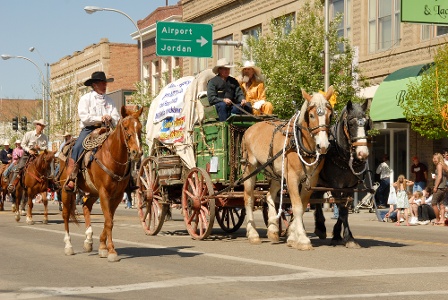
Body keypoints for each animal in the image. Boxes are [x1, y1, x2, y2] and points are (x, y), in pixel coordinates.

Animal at [59, 106, 143, 262]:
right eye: (125, 127)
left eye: (140, 127)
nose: (137, 152)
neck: (111, 157)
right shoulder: (104, 193)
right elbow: (109, 221)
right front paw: (111, 251)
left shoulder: (117, 196)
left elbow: (109, 220)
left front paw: (103, 247)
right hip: (65, 190)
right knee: (66, 214)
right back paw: (68, 246)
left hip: (93, 192)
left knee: (86, 206)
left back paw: (88, 240)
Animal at [242, 87, 332, 251]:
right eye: (311, 115)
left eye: (330, 115)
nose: (323, 146)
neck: (300, 144)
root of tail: (250, 129)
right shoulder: (292, 179)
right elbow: (297, 207)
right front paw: (302, 239)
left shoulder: (311, 180)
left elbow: (302, 205)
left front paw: (292, 236)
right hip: (250, 168)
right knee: (249, 199)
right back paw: (253, 234)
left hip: (276, 173)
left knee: (269, 195)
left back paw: (272, 229)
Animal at [314, 99, 370, 247]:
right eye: (351, 123)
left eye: (367, 124)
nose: (363, 153)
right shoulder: (336, 186)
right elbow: (341, 209)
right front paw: (347, 237)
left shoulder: (350, 187)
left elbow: (344, 210)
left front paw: (341, 235)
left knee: (317, 198)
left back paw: (320, 227)